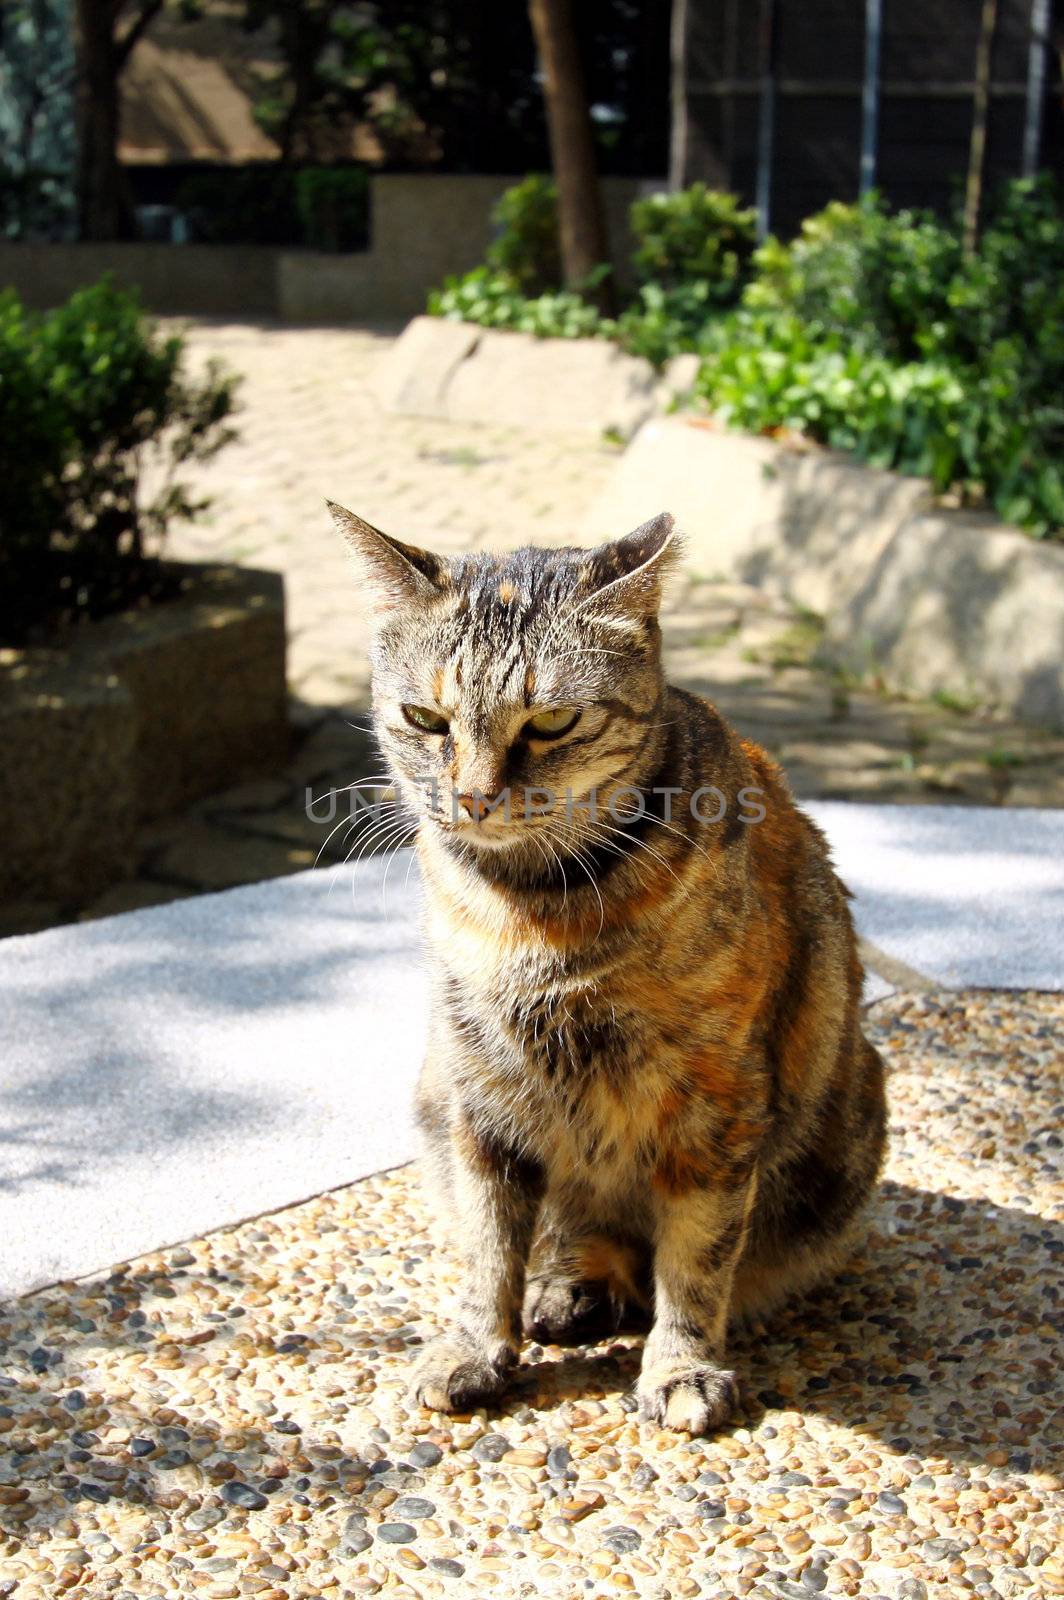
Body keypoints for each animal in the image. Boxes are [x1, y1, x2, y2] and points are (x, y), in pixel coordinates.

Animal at [328, 499, 883, 1440]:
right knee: (570, 1241)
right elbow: (488, 1248)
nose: (472, 797)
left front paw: (682, 1368)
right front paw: (476, 1347)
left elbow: (697, 1256)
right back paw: (567, 1291)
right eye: (426, 719)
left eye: (550, 722)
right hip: (436, 1097)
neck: (531, 911)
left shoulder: (715, 1108)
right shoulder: (482, 1097)